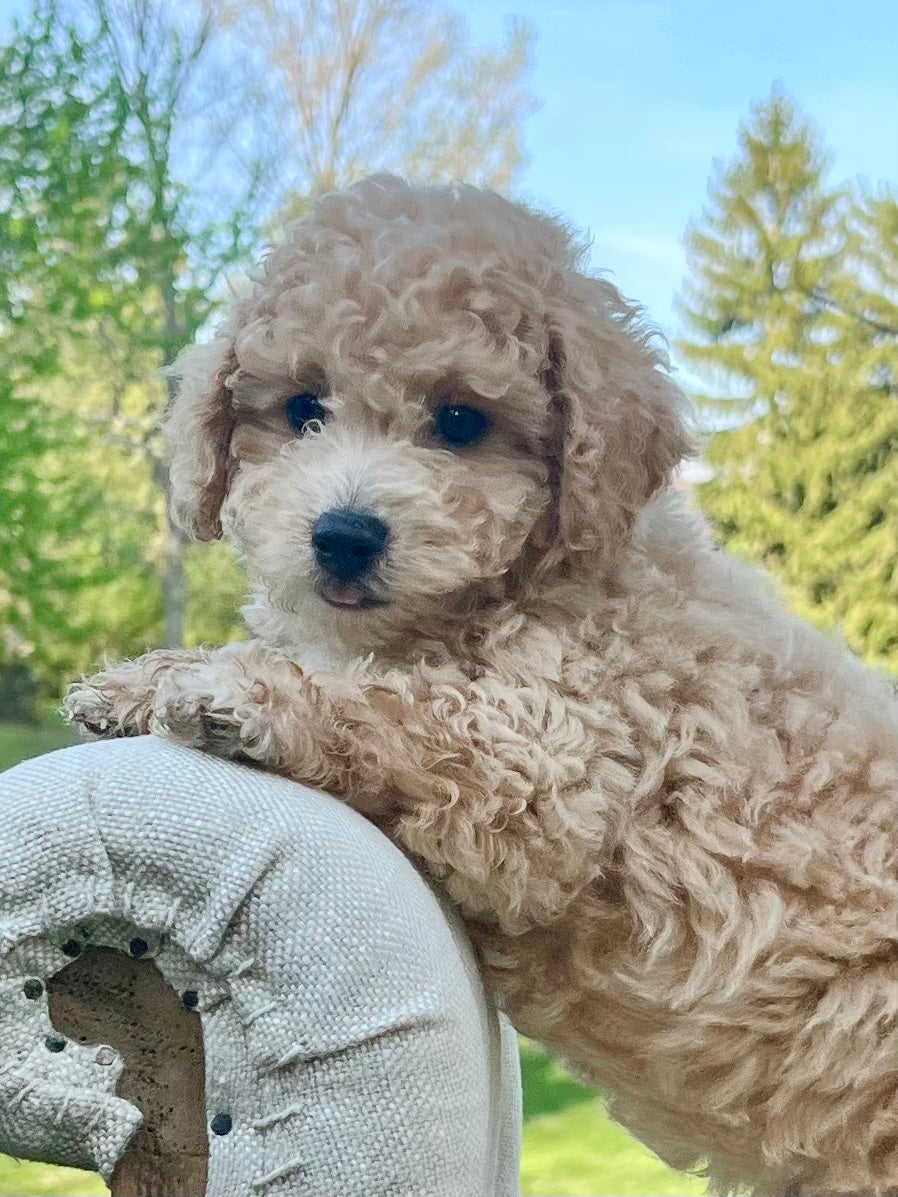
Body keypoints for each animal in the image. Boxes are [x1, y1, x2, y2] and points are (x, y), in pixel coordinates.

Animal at [66, 177, 898, 1197]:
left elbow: (403, 707)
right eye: (303, 407)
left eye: (461, 421)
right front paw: (138, 680)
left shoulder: (552, 760)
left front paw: (232, 690)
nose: (343, 535)